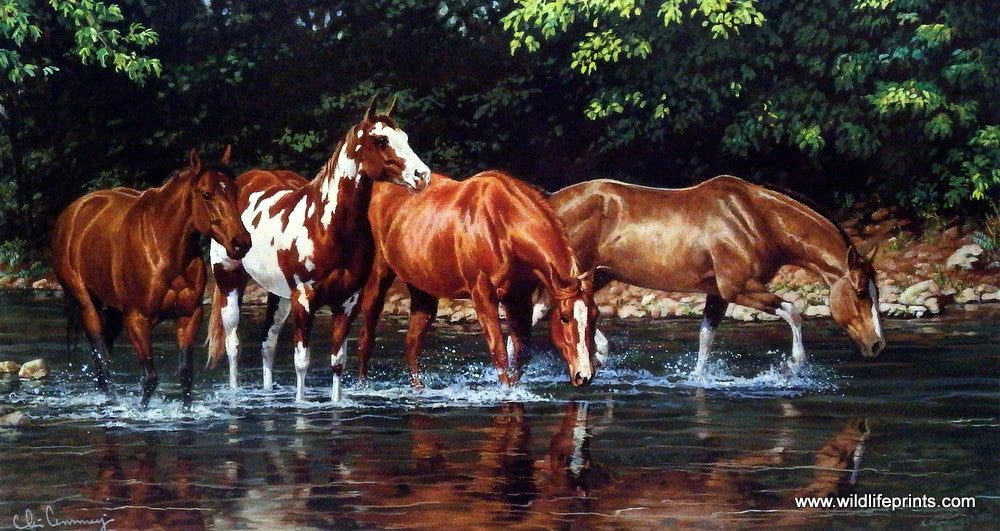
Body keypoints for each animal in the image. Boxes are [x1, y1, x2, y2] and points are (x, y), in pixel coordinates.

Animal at [50, 147, 250, 407]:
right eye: (207, 194)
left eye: (235, 191)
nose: (241, 243)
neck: (163, 249)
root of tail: (73, 211)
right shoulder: (138, 319)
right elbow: (150, 378)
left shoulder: (189, 315)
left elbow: (186, 375)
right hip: (87, 304)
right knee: (101, 358)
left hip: (115, 312)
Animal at [207, 100, 430, 402]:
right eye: (381, 140)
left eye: (405, 138)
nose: (422, 176)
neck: (325, 226)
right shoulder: (304, 299)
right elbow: (302, 361)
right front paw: (301, 404)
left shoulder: (347, 302)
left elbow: (338, 362)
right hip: (230, 281)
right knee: (234, 344)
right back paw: (234, 391)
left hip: (279, 296)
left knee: (268, 343)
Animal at [346, 170, 597, 389]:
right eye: (564, 317)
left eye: (595, 316)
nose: (584, 375)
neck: (502, 224)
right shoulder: (483, 298)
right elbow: (499, 354)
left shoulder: (518, 299)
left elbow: (521, 354)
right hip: (378, 278)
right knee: (366, 339)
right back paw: (362, 386)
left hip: (422, 291)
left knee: (412, 345)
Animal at [539, 176, 885, 376]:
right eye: (860, 292)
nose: (877, 345)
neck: (757, 218)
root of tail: (550, 199)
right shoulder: (739, 288)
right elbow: (793, 311)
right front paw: (794, 364)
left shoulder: (718, 294)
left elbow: (706, 337)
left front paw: (697, 379)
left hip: (597, 277)